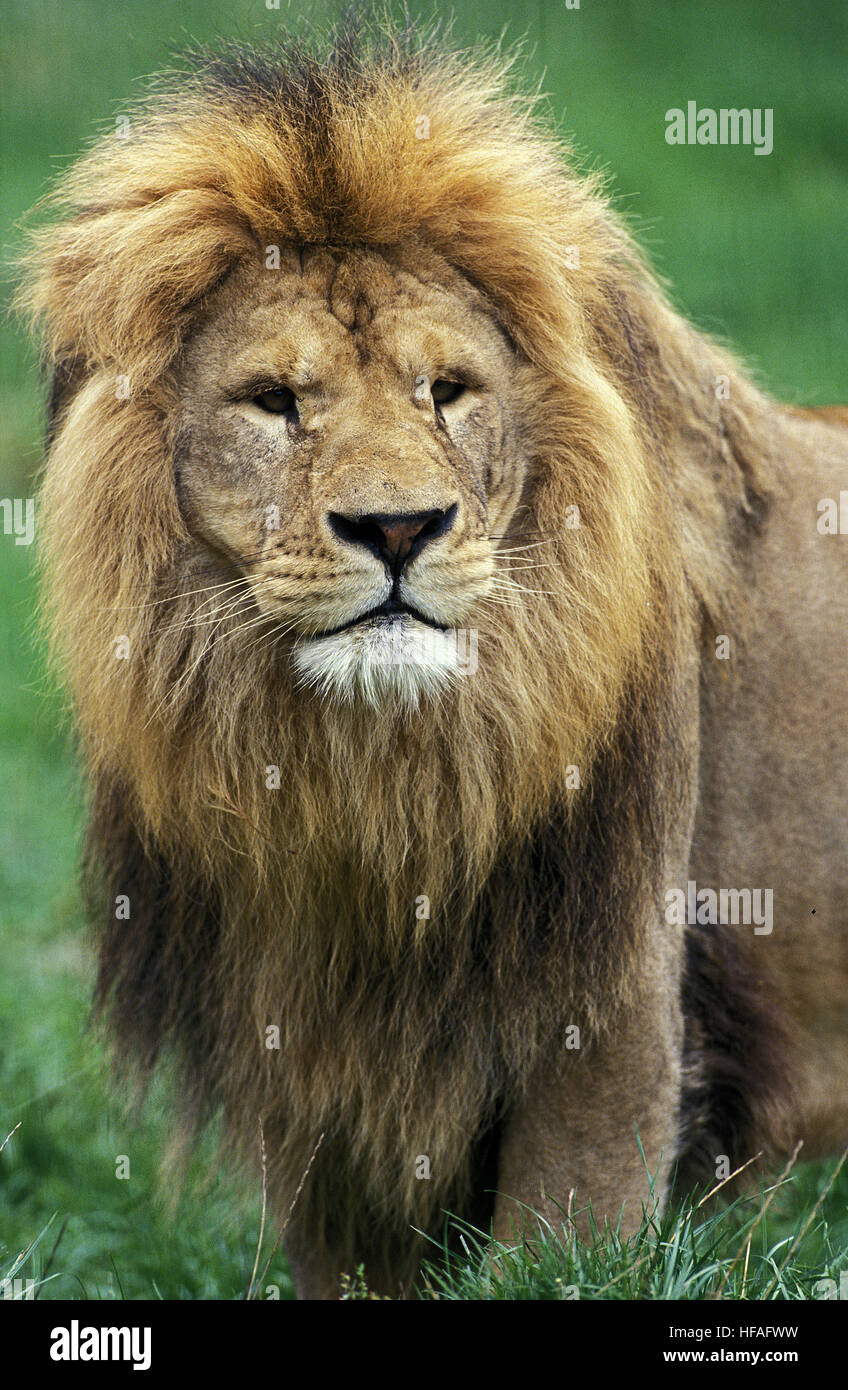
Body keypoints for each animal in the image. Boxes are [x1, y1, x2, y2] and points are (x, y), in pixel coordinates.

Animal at [20, 21, 848, 1299]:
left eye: (446, 392)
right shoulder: (309, 1040)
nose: (399, 527)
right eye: (274, 401)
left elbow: (556, 1244)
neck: (370, 770)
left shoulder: (608, 995)